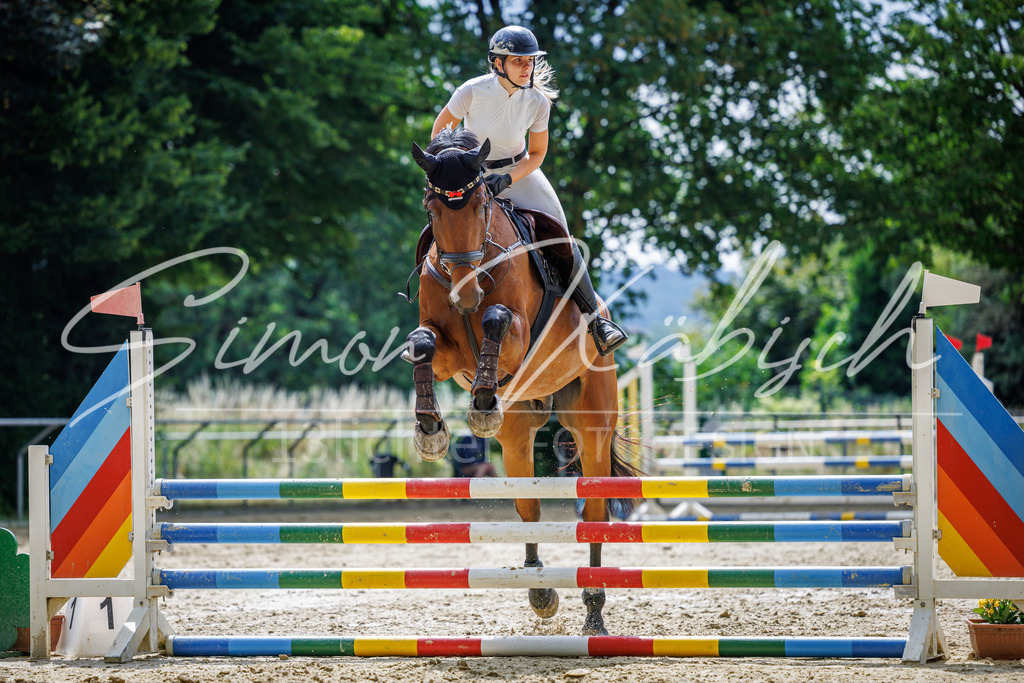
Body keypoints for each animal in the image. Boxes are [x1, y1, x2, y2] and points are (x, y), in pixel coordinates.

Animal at [404, 127, 642, 635]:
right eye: (432, 210)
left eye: (481, 206)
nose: (466, 292)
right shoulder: (446, 352)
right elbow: (422, 343)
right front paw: (431, 429)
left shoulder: (515, 335)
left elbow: (495, 319)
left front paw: (480, 405)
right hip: (518, 434)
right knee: (528, 507)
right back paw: (539, 590)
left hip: (592, 423)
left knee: (593, 512)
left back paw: (594, 612)